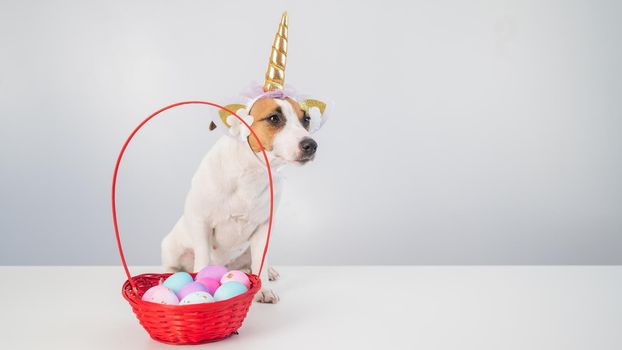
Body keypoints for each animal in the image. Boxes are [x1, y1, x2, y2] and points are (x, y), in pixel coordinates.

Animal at [161, 13, 330, 304]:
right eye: (274, 118)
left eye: (306, 119)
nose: (311, 145)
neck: (251, 172)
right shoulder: (200, 222)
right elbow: (203, 261)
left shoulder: (263, 229)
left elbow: (260, 261)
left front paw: (262, 288)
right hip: (172, 245)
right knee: (176, 264)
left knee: (253, 262)